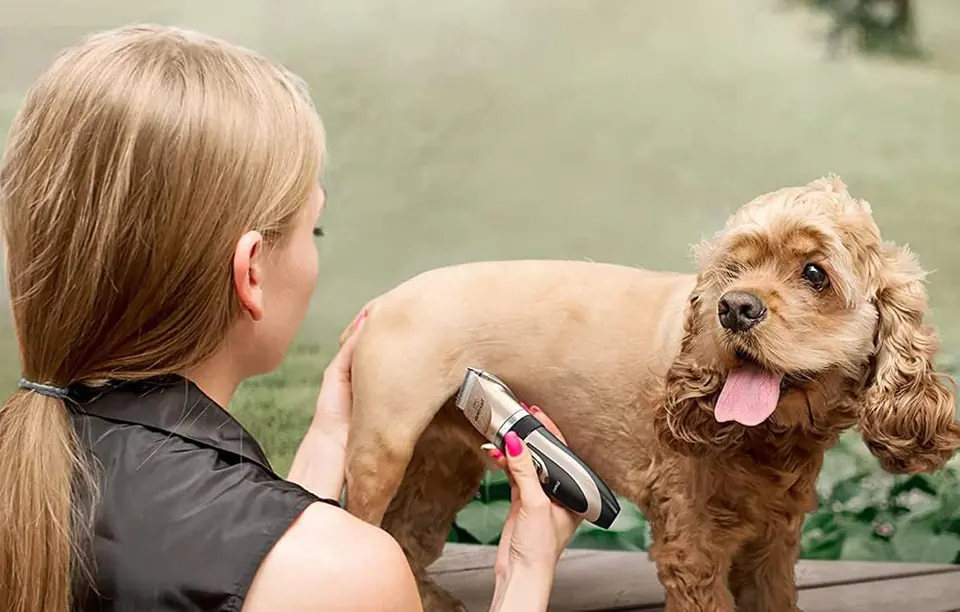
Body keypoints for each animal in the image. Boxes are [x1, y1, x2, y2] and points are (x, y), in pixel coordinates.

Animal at [340, 177, 960, 612]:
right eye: (732, 270)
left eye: (815, 273)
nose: (734, 308)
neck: (767, 440)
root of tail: (380, 302)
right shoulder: (691, 541)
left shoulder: (774, 537)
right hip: (382, 452)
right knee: (369, 529)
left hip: (445, 464)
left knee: (406, 537)